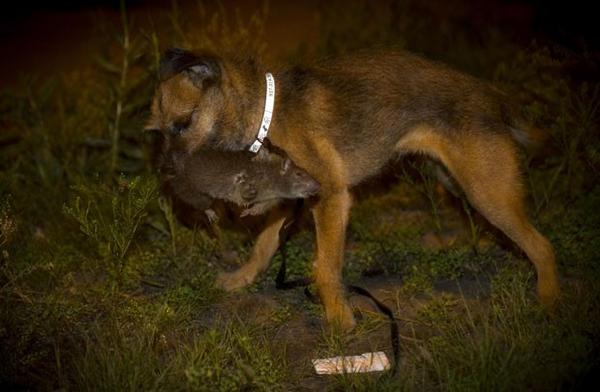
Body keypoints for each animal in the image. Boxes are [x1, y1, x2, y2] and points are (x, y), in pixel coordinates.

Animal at [148, 47, 560, 330]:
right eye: (157, 133)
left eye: (183, 124)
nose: (166, 175)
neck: (262, 114)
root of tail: (489, 93)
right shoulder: (289, 196)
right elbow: (263, 245)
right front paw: (243, 278)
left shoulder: (329, 197)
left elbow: (326, 270)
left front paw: (339, 322)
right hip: (454, 182)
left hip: (485, 192)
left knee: (542, 246)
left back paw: (548, 303)